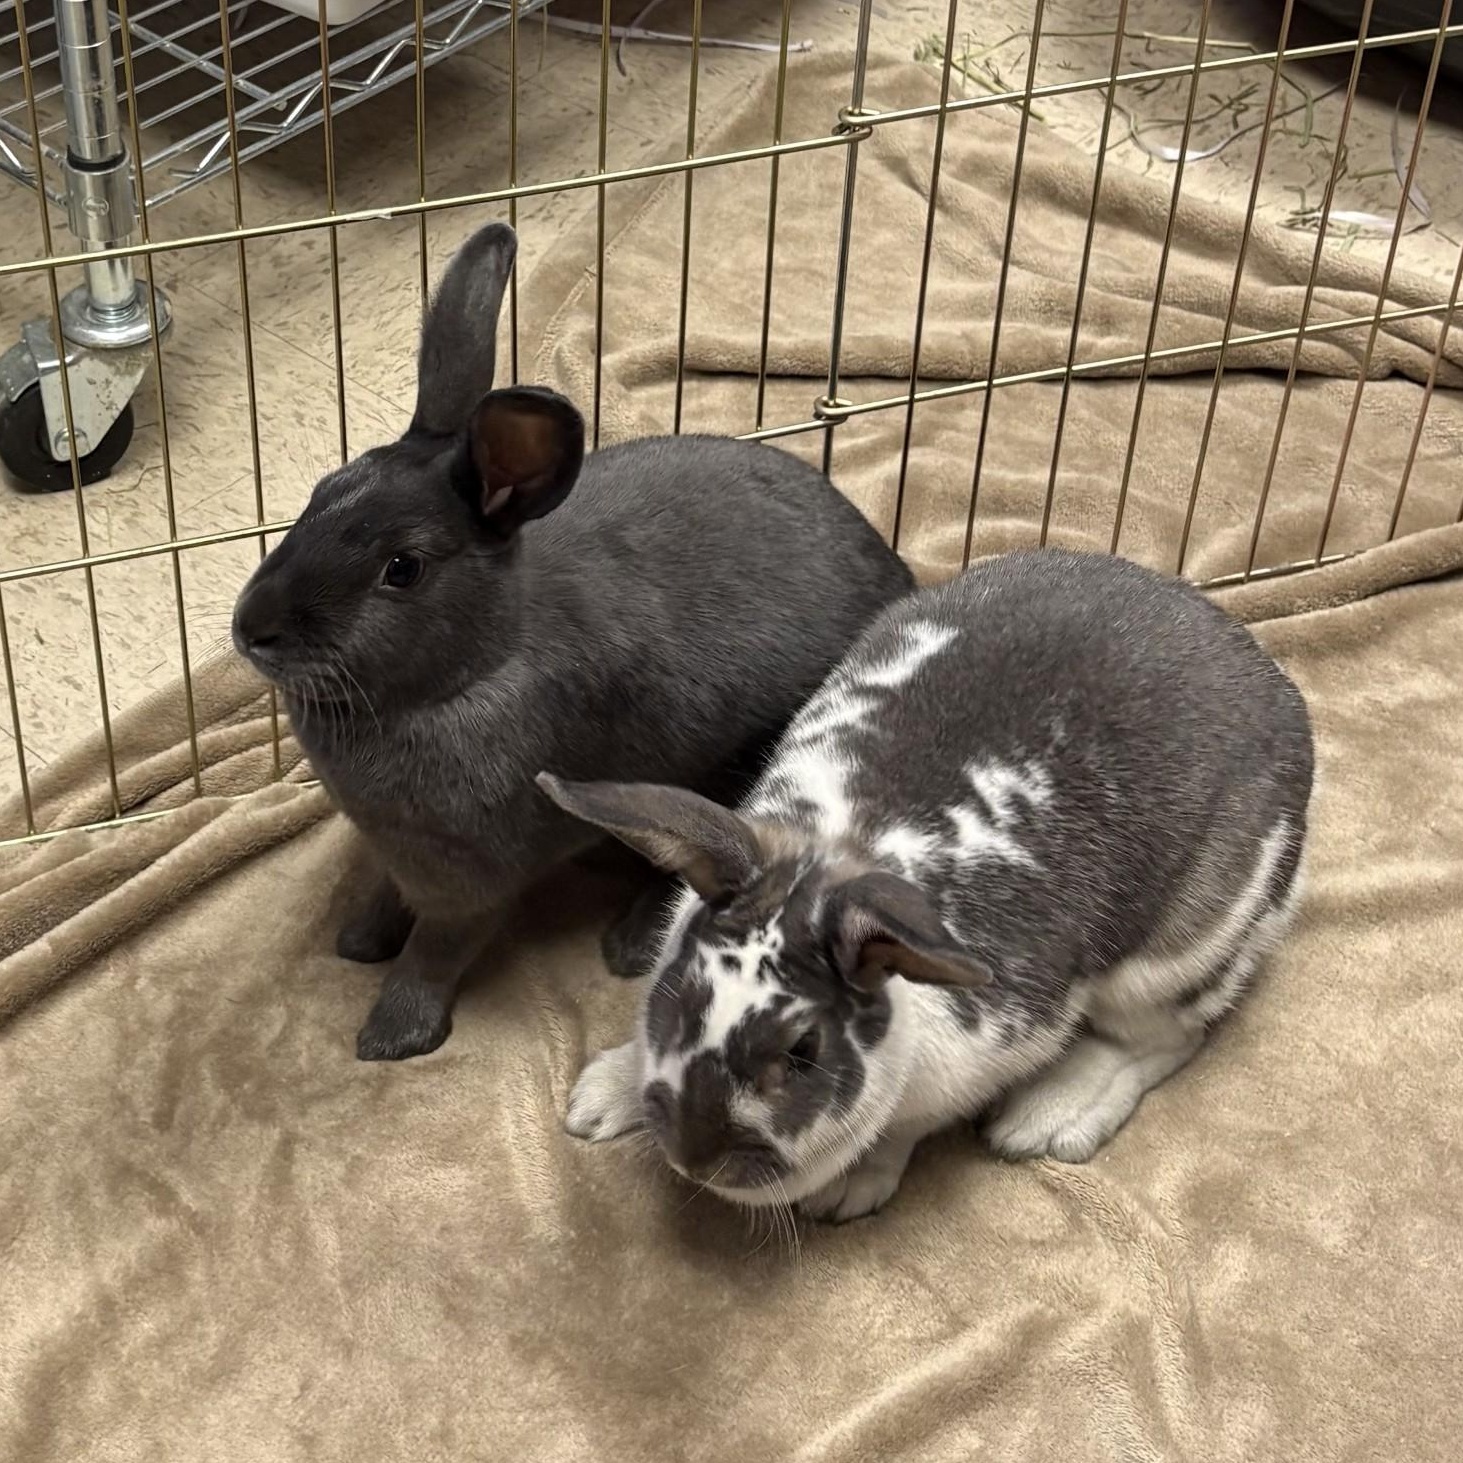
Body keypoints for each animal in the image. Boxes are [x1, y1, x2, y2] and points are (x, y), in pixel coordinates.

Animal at [230, 221, 914, 1062]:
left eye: (402, 568)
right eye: (322, 490)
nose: (251, 627)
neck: (476, 667)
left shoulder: (466, 877)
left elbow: (438, 950)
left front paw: (391, 1036)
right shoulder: (401, 856)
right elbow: (388, 902)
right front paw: (358, 941)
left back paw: (629, 944)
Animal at [539, 548, 1314, 1222]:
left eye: (803, 1049)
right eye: (677, 994)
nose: (697, 1157)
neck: (837, 856)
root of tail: (1260, 668)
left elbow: (904, 1129)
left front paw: (848, 1188)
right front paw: (600, 1097)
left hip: (1179, 953)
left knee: (1167, 1037)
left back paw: (1047, 1117)